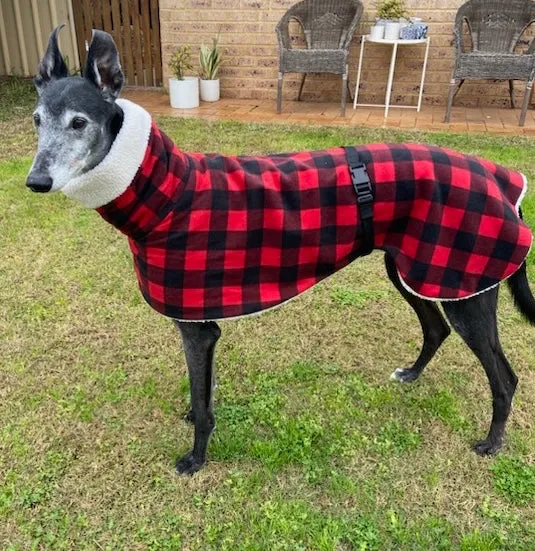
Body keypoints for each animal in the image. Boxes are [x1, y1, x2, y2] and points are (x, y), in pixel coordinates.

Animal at [28, 27, 535, 474]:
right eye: (36, 120)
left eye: (79, 122)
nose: (36, 182)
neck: (168, 193)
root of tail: (502, 182)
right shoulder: (203, 322)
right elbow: (204, 390)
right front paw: (195, 416)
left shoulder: (197, 330)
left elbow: (203, 402)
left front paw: (196, 458)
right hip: (416, 271)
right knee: (435, 328)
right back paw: (411, 375)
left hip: (465, 290)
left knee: (504, 377)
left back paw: (492, 442)